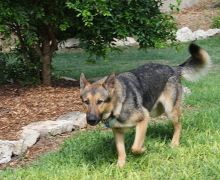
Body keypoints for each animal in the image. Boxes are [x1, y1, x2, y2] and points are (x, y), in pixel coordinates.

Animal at [80, 43, 211, 167]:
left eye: (100, 101)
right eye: (86, 102)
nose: (90, 120)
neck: (117, 105)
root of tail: (173, 68)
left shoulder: (143, 119)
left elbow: (135, 147)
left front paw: (143, 149)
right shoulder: (118, 131)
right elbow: (121, 151)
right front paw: (120, 166)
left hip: (169, 111)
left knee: (179, 125)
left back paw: (174, 143)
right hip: (155, 110)